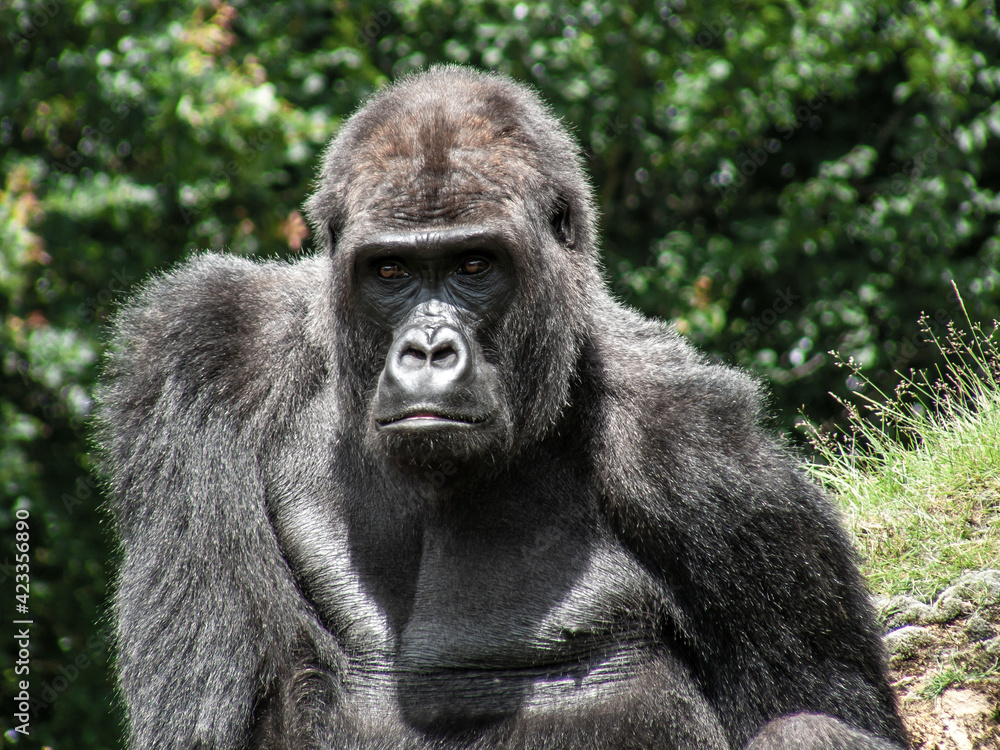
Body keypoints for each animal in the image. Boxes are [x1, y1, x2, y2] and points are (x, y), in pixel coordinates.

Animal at [97, 66, 912, 750]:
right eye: (389, 271)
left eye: (473, 265)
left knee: (803, 730)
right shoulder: (203, 346)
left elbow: (826, 706)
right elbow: (208, 718)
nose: (429, 351)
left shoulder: (711, 458)